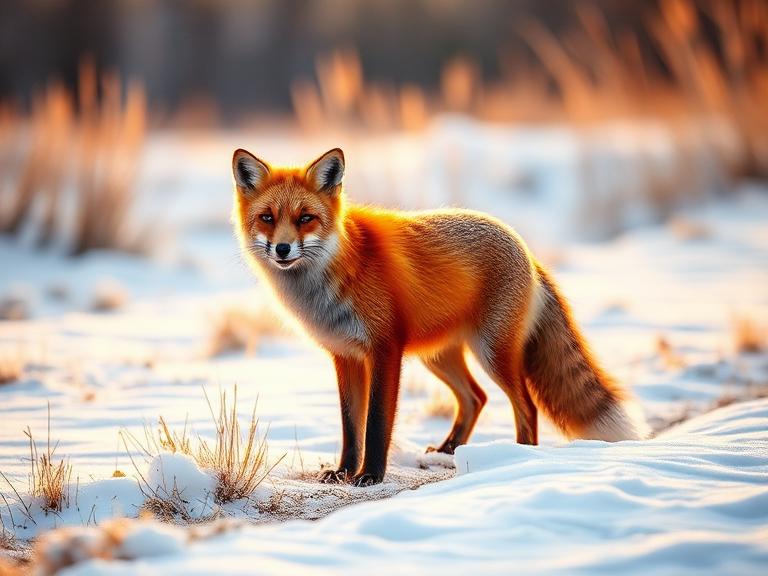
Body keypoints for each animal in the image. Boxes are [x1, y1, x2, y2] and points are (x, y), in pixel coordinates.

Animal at [231, 147, 649, 486]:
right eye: (267, 218)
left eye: (306, 218)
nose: (283, 249)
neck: (335, 273)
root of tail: (527, 250)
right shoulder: (345, 356)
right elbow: (351, 426)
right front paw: (344, 471)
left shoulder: (385, 350)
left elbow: (376, 422)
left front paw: (370, 475)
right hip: (438, 356)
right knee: (476, 397)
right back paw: (449, 451)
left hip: (492, 353)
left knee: (525, 406)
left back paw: (518, 458)